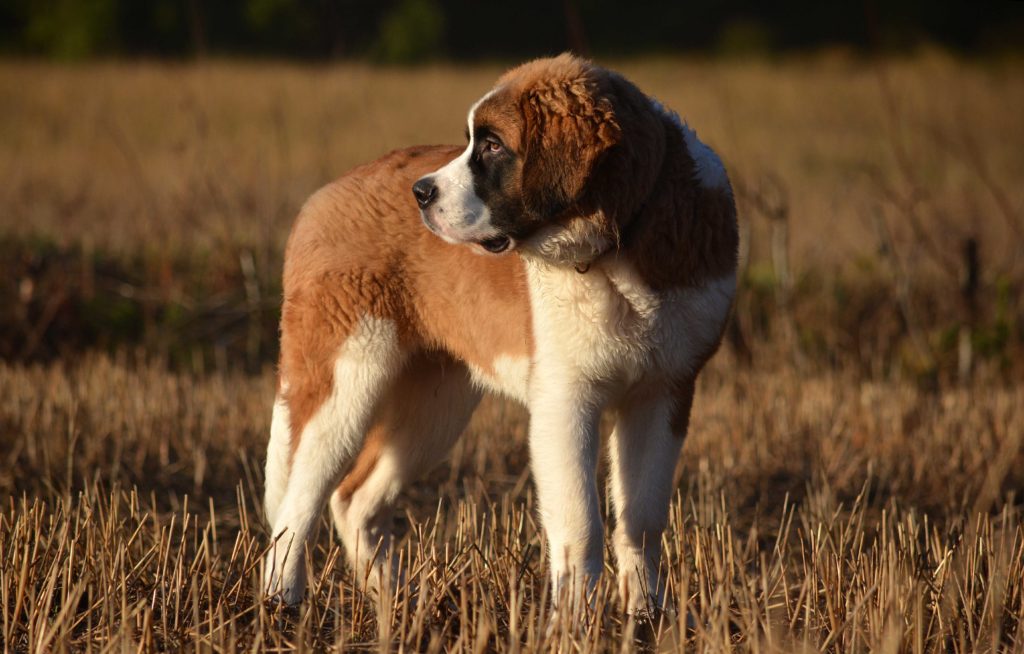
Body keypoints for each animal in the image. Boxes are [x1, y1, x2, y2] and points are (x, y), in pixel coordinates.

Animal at [264, 53, 737, 618]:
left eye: (492, 145)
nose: (420, 192)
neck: (620, 245)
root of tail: (323, 196)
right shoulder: (565, 399)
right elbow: (581, 520)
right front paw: (573, 620)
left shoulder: (664, 392)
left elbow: (641, 518)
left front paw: (645, 614)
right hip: (346, 375)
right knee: (300, 497)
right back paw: (281, 599)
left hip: (434, 406)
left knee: (353, 497)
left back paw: (396, 602)